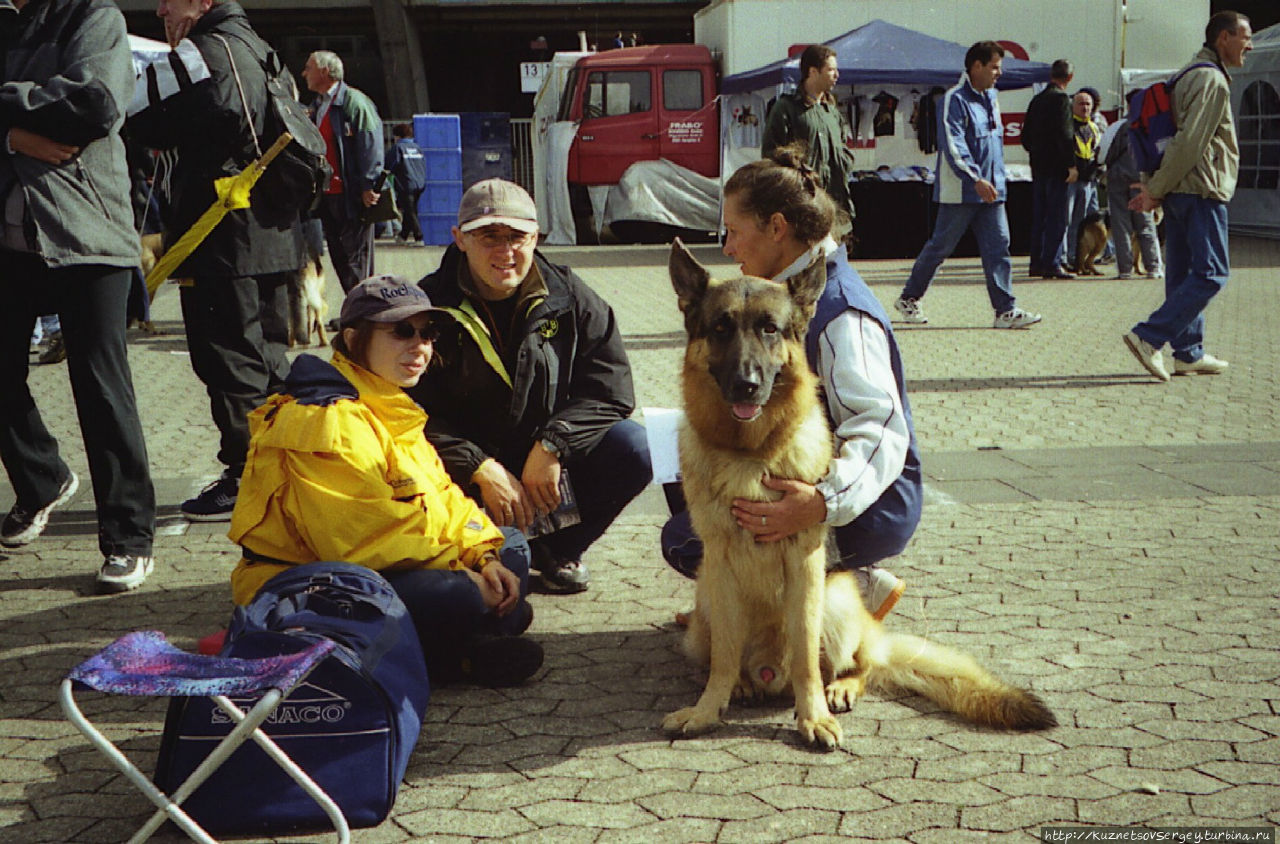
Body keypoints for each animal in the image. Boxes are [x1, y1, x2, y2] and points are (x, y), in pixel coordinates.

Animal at [665, 240, 1054, 747]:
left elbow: (806, 657)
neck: (751, 453)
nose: (746, 385)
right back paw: (746, 685)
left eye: (769, 329)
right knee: (725, 657)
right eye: (720, 328)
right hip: (706, 603)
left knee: (859, 663)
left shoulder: (805, 566)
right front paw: (707, 711)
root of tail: (771, 674)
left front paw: (811, 717)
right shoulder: (721, 566)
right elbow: (725, 658)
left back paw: (840, 688)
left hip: (835, 603)